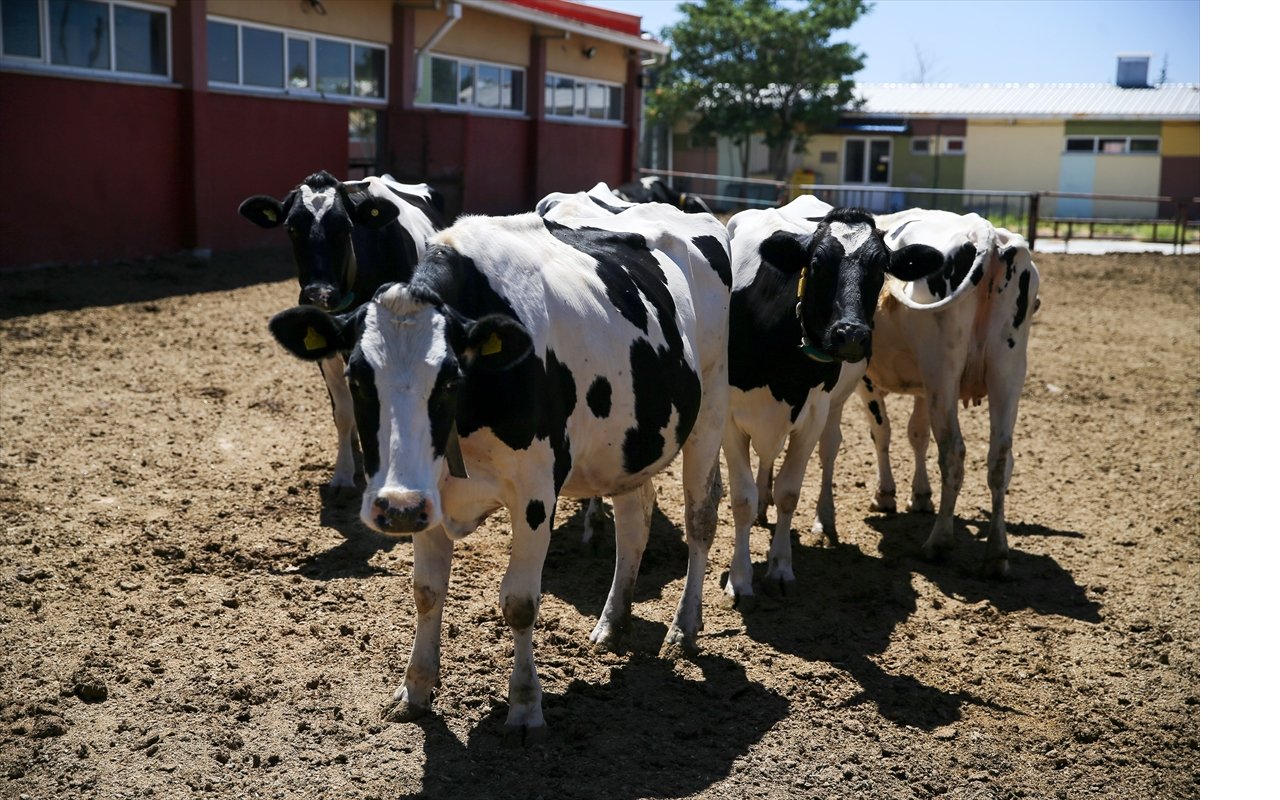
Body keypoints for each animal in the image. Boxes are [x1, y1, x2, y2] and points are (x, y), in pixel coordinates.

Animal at [238, 170, 442, 486]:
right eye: (291, 228)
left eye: (345, 228)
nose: (318, 294)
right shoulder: (326, 346)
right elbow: (344, 412)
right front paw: (344, 473)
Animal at [267, 202, 732, 737]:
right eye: (356, 378)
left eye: (451, 378)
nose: (395, 508)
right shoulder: (429, 495)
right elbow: (427, 592)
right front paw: (415, 689)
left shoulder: (535, 494)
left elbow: (520, 602)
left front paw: (526, 706)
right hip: (626, 447)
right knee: (635, 519)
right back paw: (612, 623)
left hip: (710, 411)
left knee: (700, 519)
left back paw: (683, 628)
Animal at [727, 197, 947, 601]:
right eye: (816, 263)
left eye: (881, 267)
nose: (851, 334)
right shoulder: (728, 418)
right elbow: (742, 498)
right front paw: (740, 578)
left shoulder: (813, 413)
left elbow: (789, 491)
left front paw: (780, 568)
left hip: (836, 404)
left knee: (828, 448)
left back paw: (823, 519)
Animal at [808, 207, 1039, 573]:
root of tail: (983, 231)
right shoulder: (921, 389)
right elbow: (917, 435)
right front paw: (919, 495)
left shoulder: (868, 381)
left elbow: (882, 432)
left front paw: (886, 493)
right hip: (1007, 372)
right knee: (1000, 459)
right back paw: (996, 554)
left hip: (943, 373)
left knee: (954, 452)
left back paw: (938, 542)